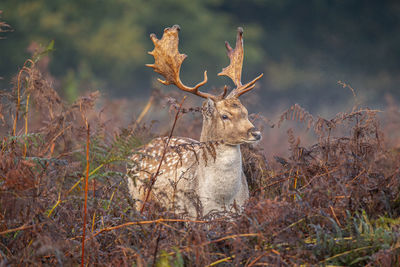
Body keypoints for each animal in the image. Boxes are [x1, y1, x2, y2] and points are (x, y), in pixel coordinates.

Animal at [127, 24, 262, 218]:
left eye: (246, 112)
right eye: (225, 116)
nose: (256, 133)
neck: (221, 199)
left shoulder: (239, 212)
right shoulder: (191, 214)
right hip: (137, 197)